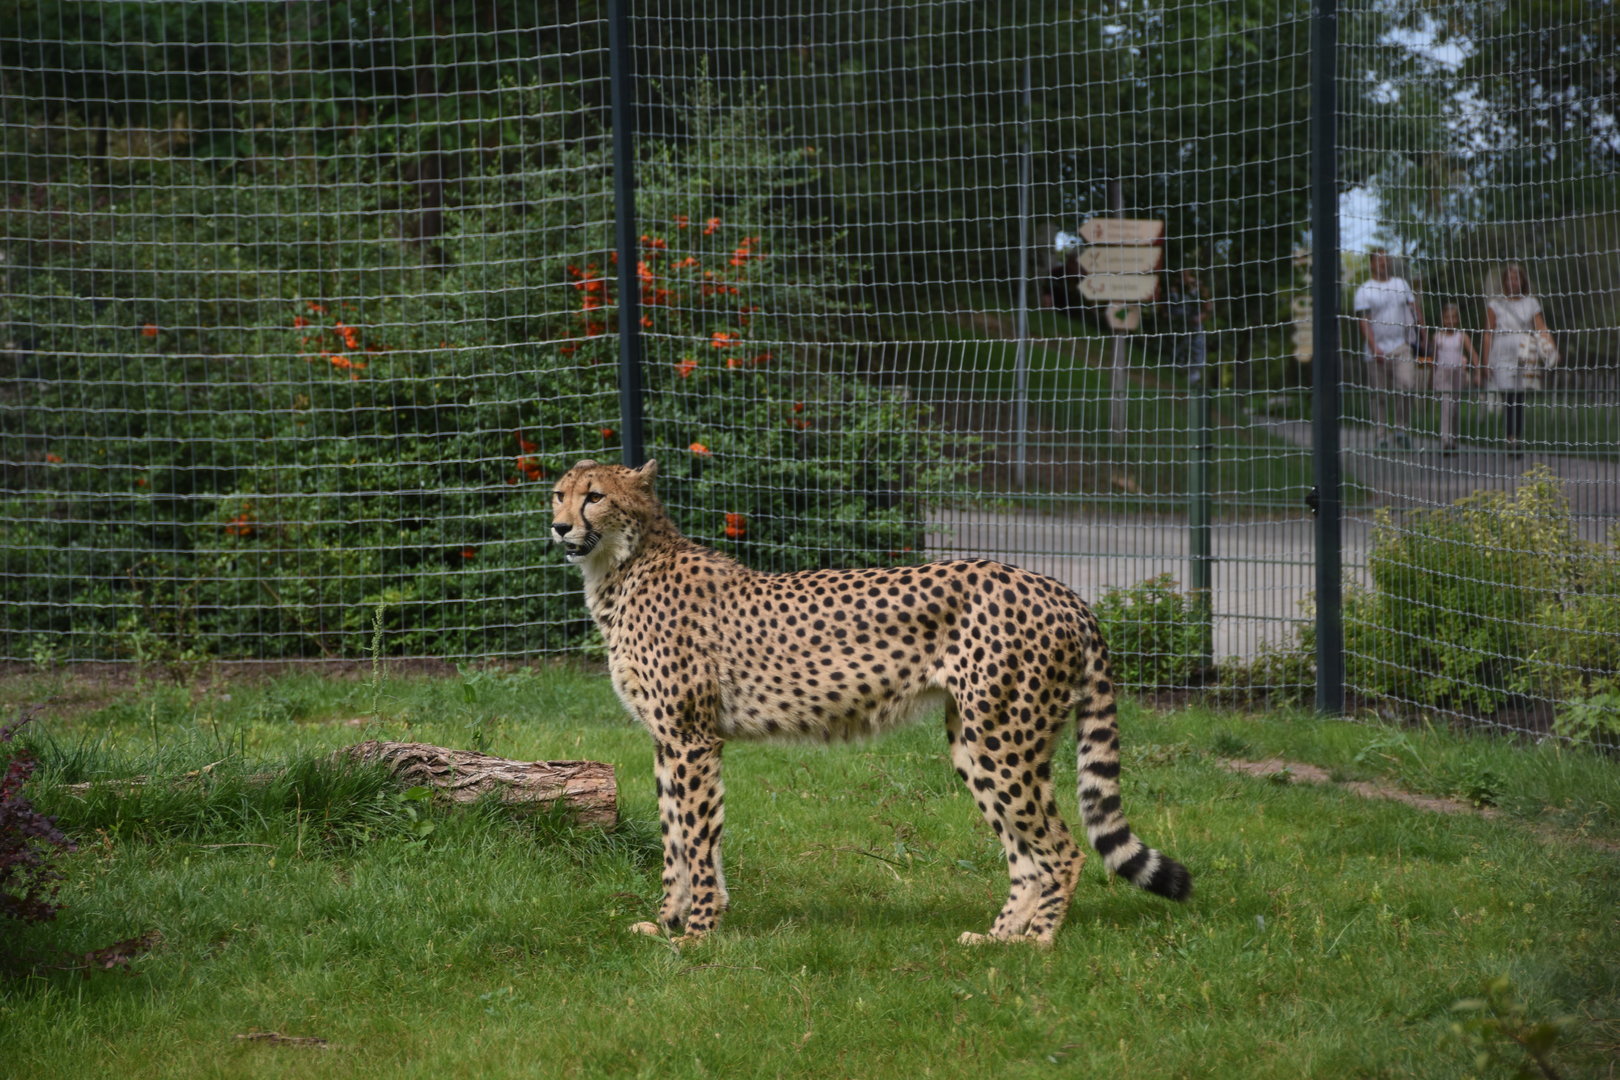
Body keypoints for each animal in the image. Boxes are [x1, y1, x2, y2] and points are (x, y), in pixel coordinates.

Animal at [551, 458, 1190, 946]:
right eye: (559, 494)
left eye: (595, 498)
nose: (557, 528)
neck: (623, 566)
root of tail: (1060, 589)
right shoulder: (668, 742)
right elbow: (675, 839)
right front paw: (666, 922)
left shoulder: (690, 738)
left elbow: (697, 840)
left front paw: (699, 934)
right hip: (976, 744)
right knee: (1025, 853)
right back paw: (997, 939)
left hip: (1004, 739)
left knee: (1062, 849)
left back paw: (1038, 943)